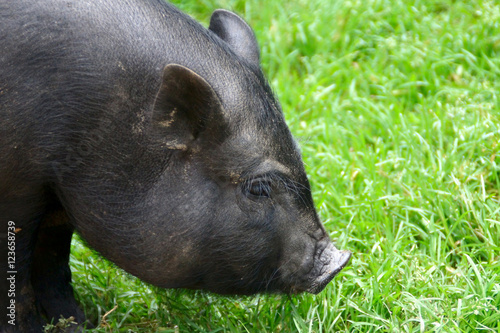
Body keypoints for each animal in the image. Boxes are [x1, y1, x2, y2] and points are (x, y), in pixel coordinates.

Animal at [0, 0, 352, 330]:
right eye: (259, 187)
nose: (340, 260)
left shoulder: (57, 200)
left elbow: (53, 262)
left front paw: (81, 325)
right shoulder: (19, 190)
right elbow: (18, 277)